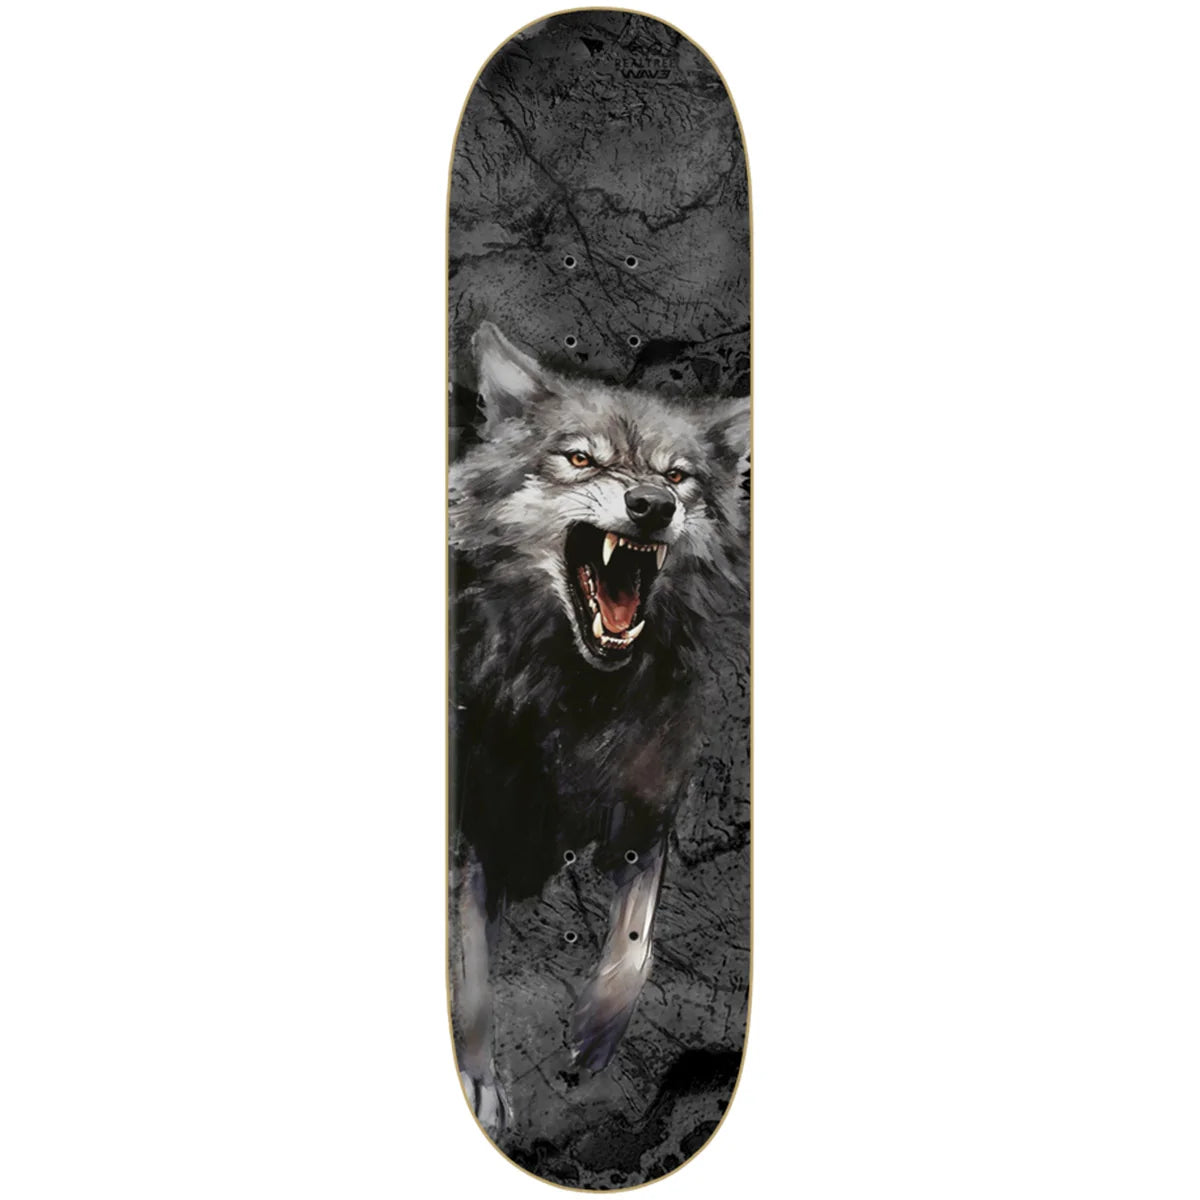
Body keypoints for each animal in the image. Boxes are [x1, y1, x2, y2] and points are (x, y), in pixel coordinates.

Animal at [449, 322, 749, 1136]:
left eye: (678, 476)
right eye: (581, 458)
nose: (650, 503)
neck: (581, 702)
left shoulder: (649, 813)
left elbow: (636, 946)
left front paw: (592, 1036)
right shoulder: (477, 832)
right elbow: (473, 976)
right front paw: (480, 1086)